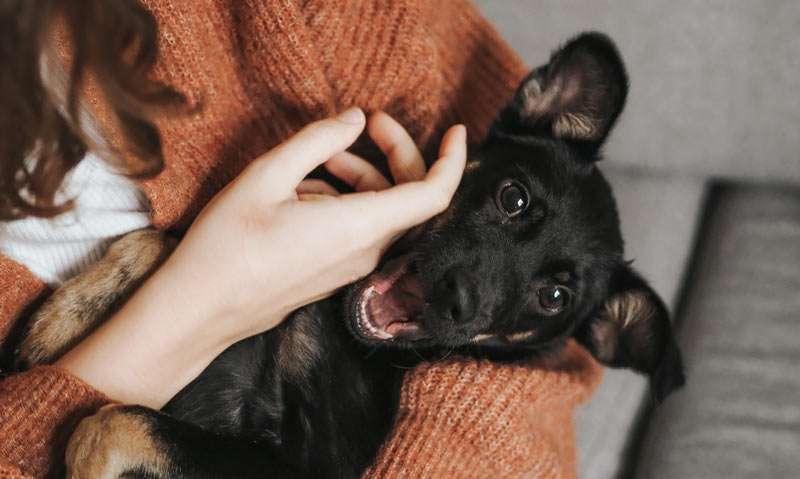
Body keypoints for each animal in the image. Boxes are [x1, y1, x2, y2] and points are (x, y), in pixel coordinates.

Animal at [12, 31, 684, 478]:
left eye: (555, 298)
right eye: (513, 197)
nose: (459, 300)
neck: (340, 330)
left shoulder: (310, 468)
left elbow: (108, 423)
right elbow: (159, 240)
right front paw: (63, 317)